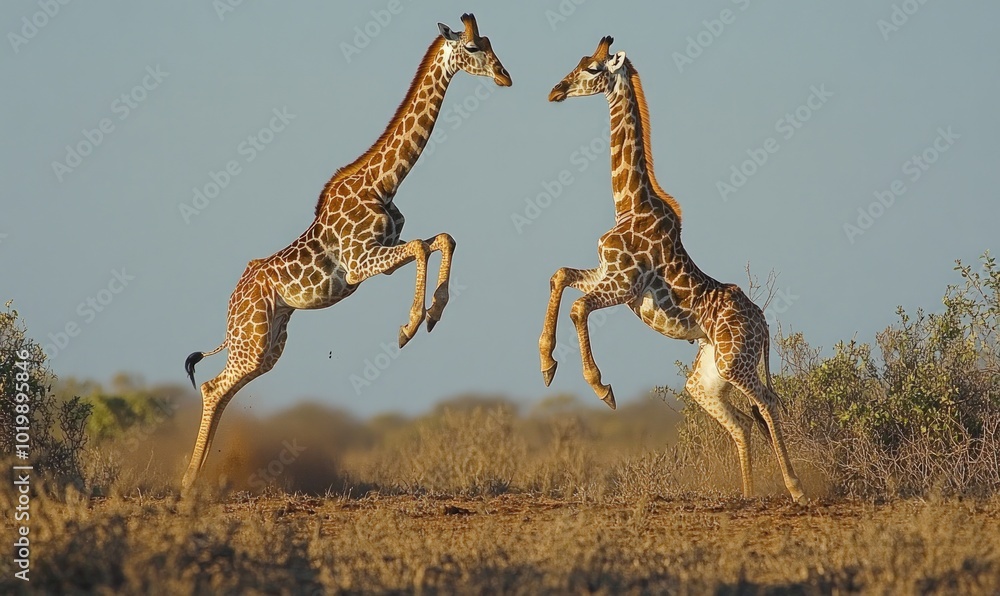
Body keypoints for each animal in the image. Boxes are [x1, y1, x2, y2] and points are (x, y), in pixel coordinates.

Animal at [180, 14, 511, 491]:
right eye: (471, 48)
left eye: (488, 42)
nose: (505, 75)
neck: (384, 182)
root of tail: (232, 303)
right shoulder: (358, 263)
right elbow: (422, 246)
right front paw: (409, 327)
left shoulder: (384, 250)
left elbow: (441, 239)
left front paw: (433, 314)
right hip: (252, 335)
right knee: (212, 388)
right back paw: (188, 481)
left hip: (270, 342)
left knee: (223, 390)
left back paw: (200, 477)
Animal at [539, 37, 804, 502]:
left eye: (592, 68)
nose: (556, 90)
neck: (630, 203)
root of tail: (764, 322)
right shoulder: (607, 271)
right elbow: (560, 276)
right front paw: (547, 364)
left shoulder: (625, 284)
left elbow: (578, 307)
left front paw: (601, 387)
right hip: (706, 377)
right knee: (742, 421)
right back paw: (747, 494)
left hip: (736, 362)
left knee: (768, 404)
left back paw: (796, 488)